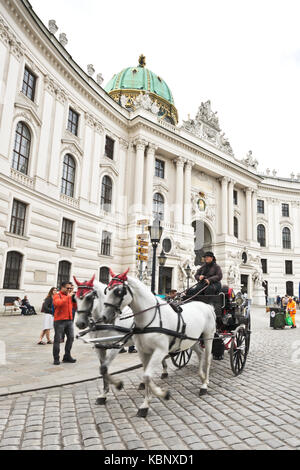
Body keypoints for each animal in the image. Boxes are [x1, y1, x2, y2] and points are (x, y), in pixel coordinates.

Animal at [74, 276, 135, 404]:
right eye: (75, 298)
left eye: (88, 298)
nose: (79, 323)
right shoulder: (99, 347)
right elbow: (103, 369)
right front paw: (103, 394)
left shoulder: (116, 346)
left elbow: (104, 368)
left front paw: (118, 384)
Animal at [102, 270, 217, 416]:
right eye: (107, 290)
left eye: (118, 291)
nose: (104, 316)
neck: (150, 318)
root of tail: (207, 305)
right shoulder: (143, 352)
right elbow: (146, 376)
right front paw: (145, 404)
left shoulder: (160, 351)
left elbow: (147, 375)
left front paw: (163, 394)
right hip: (192, 339)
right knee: (201, 354)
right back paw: (201, 376)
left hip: (208, 336)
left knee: (208, 358)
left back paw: (205, 384)